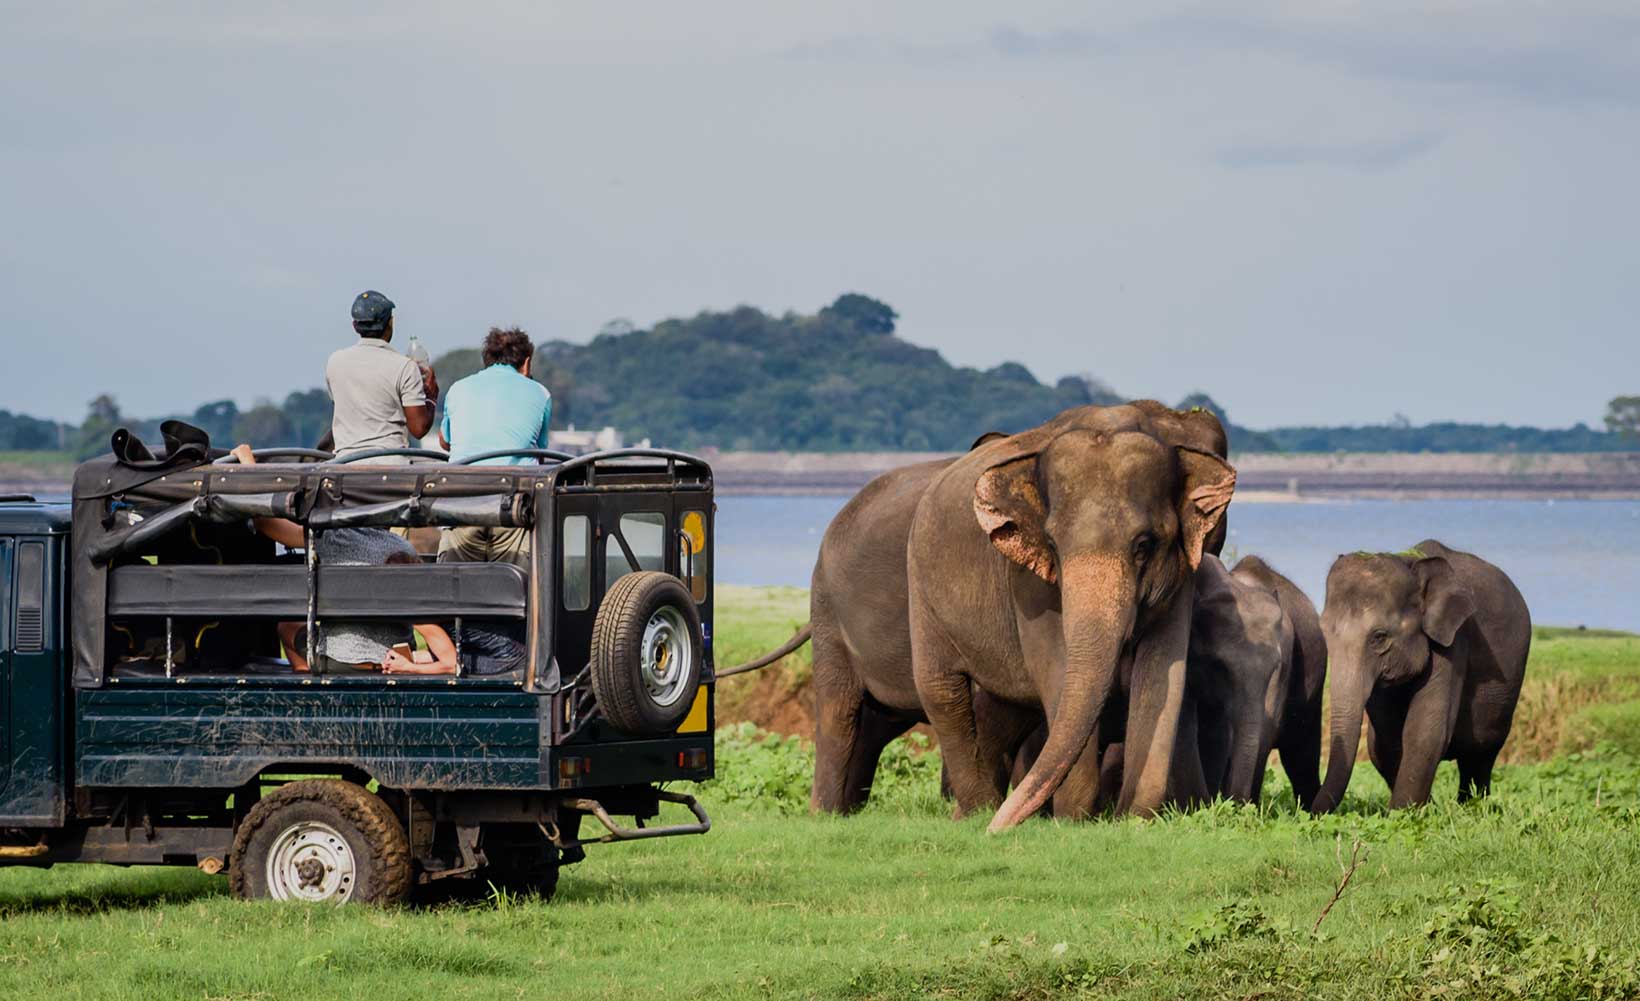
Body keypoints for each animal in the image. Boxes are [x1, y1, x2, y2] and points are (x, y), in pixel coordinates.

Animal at [1312, 538, 1528, 810]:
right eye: (1323, 633)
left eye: (1379, 637)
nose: (1308, 810)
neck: (1410, 563)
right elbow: (1385, 741)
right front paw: (1422, 810)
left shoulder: (1454, 640)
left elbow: (1424, 731)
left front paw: (1401, 814)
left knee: (1481, 753)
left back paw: (1472, 807)